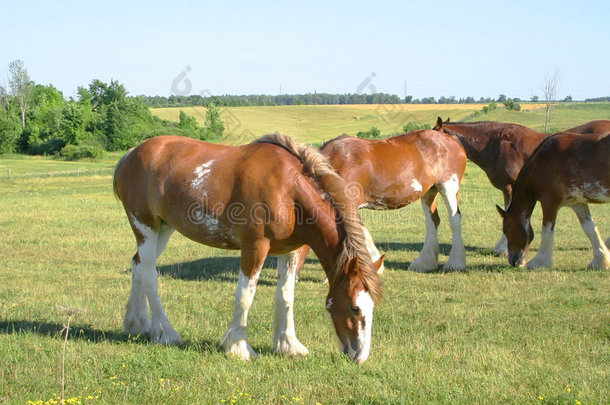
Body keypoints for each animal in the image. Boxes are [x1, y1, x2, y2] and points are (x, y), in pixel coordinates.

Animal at [113, 133, 380, 362]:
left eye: (372, 307)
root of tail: (131, 154)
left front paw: (288, 344)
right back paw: (165, 332)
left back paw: (137, 323)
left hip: (163, 229)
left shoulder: (291, 251)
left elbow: (286, 295)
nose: (360, 356)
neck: (288, 190)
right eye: (355, 308)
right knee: (149, 275)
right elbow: (245, 296)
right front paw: (239, 347)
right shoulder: (255, 246)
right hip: (145, 227)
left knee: (138, 265)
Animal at [302, 130, 466, 272]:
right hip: (429, 191)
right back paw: (424, 263)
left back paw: (455, 263)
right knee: (432, 221)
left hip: (448, 187)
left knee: (454, 219)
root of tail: (450, 139)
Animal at [496, 130, 604, 268]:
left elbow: (547, 230)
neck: (541, 161)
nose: (513, 261)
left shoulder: (549, 202)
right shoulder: (578, 202)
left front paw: (539, 262)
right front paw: (600, 260)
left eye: (506, 230)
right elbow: (590, 228)